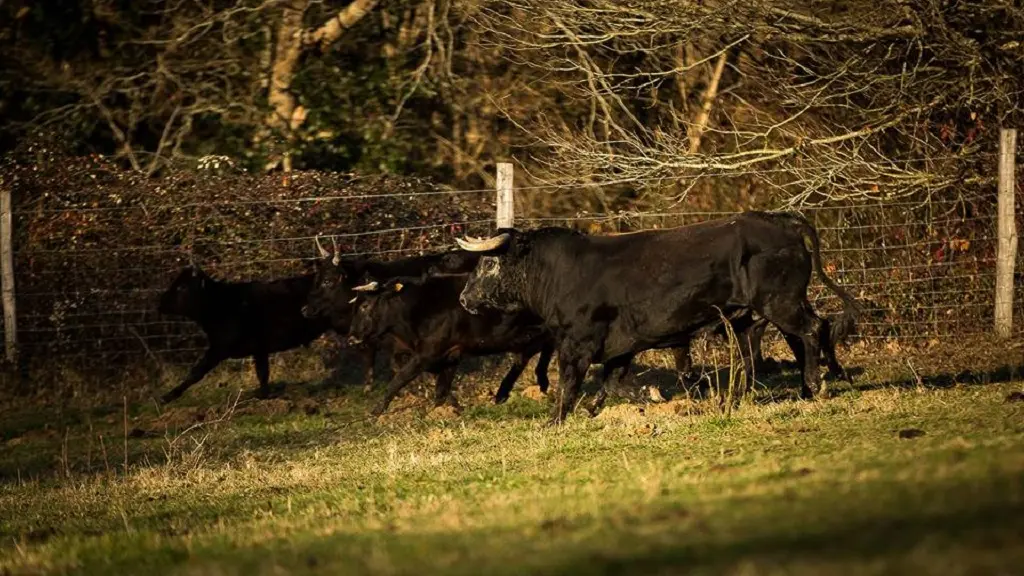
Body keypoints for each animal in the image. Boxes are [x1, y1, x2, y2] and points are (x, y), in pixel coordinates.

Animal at [155, 266, 327, 401]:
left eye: (182, 287)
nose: (160, 302)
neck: (220, 304)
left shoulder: (219, 348)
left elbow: (196, 372)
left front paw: (167, 397)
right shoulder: (259, 349)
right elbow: (262, 373)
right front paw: (263, 395)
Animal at [456, 210, 864, 422]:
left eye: (487, 263)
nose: (463, 297)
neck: (560, 272)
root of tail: (783, 220)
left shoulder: (577, 342)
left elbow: (570, 384)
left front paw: (556, 420)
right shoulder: (620, 345)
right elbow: (612, 383)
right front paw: (644, 397)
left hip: (780, 302)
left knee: (811, 330)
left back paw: (814, 385)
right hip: (757, 313)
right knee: (770, 346)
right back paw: (752, 397)